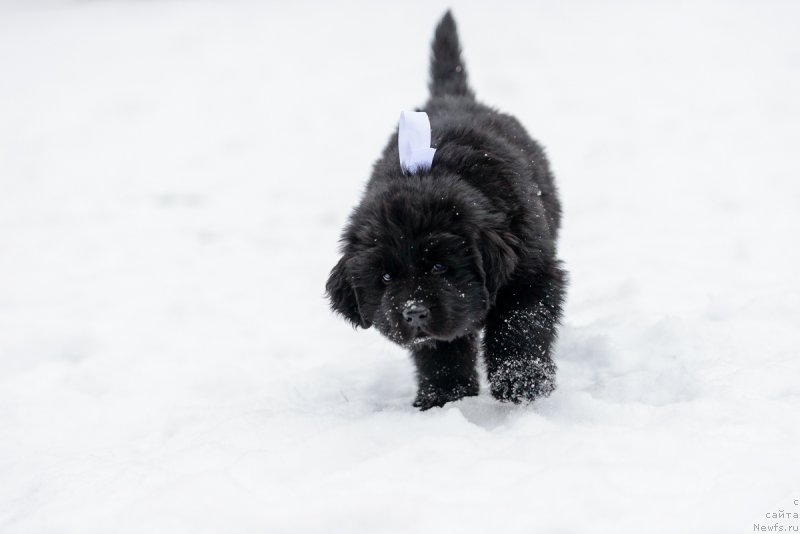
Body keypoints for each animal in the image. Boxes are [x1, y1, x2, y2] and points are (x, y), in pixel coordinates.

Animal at [326, 12, 568, 412]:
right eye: (386, 277)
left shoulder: (531, 274)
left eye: (440, 266)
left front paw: (521, 385)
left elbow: (519, 326)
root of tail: (450, 96)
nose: (414, 311)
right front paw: (444, 397)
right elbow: (439, 352)